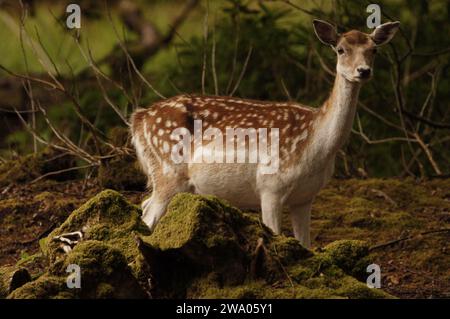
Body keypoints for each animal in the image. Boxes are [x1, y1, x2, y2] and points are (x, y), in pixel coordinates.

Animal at [131, 20, 400, 249]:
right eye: (341, 49)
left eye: (374, 50)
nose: (363, 71)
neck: (316, 146)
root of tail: (139, 118)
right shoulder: (271, 186)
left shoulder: (305, 197)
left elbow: (306, 245)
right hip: (169, 169)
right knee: (148, 215)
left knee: (144, 205)